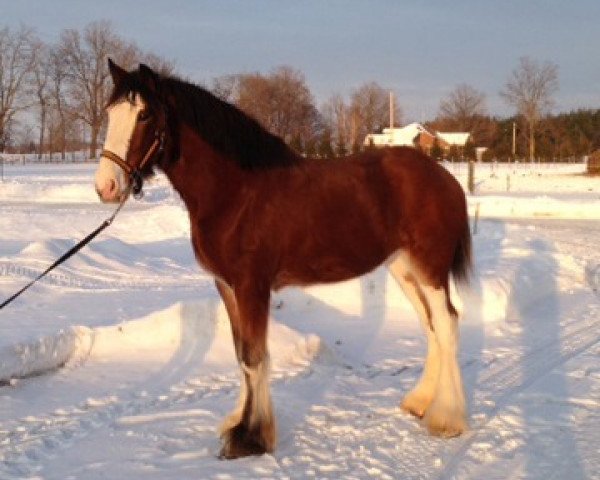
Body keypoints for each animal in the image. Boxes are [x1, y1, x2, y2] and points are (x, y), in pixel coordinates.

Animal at [95, 59, 468, 458]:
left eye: (144, 114)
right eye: (110, 112)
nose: (106, 186)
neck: (236, 193)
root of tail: (444, 178)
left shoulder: (252, 287)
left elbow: (254, 357)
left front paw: (251, 438)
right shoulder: (227, 286)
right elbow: (241, 353)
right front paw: (238, 424)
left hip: (430, 269)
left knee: (446, 323)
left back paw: (447, 418)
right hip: (403, 268)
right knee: (431, 325)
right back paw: (421, 402)